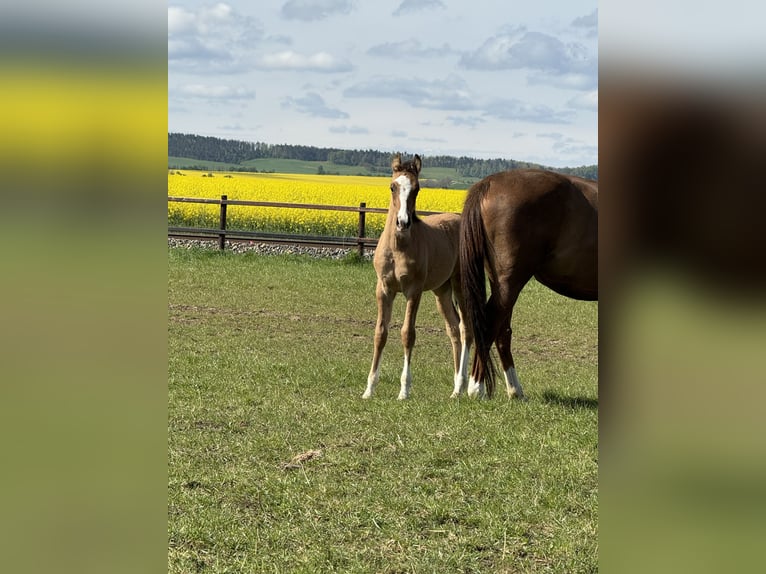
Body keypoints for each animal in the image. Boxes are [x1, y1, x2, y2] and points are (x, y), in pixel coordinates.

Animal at [364, 155, 472, 402]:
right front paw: (369, 389)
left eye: (417, 188)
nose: (403, 222)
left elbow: (407, 334)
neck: (398, 248)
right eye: (392, 186)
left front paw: (404, 390)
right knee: (453, 329)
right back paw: (456, 388)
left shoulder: (413, 291)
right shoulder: (383, 289)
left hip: (460, 285)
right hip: (442, 291)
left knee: (465, 329)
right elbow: (380, 333)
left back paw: (461, 386)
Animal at [460, 169, 596, 398]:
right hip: (510, 283)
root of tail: (490, 183)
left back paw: (515, 390)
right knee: (490, 327)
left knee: (502, 332)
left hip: (500, 284)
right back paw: (476, 388)